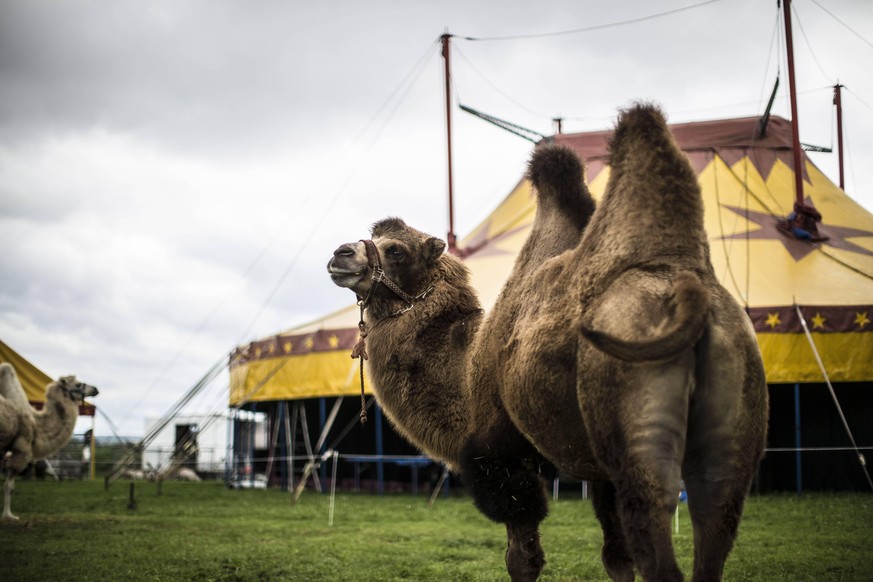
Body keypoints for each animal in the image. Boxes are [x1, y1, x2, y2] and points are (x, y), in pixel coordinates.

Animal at [326, 102, 764, 580]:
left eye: (397, 251)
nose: (340, 254)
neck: (465, 368)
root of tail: (691, 298)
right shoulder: (597, 473)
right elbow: (616, 557)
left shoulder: (501, 457)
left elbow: (522, 558)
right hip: (732, 430)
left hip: (638, 440)